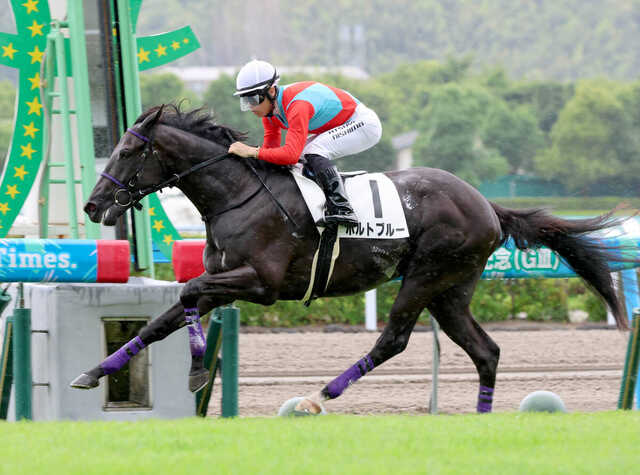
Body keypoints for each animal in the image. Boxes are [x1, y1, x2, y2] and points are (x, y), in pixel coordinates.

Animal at [72, 104, 630, 414]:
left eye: (127, 151)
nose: (93, 206)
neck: (236, 195)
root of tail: (487, 205)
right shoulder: (222, 277)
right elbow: (163, 319)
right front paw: (95, 372)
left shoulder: (259, 283)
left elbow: (185, 294)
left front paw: (193, 374)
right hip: (452, 290)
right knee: (486, 350)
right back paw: (481, 417)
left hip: (426, 276)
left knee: (394, 340)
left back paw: (317, 397)